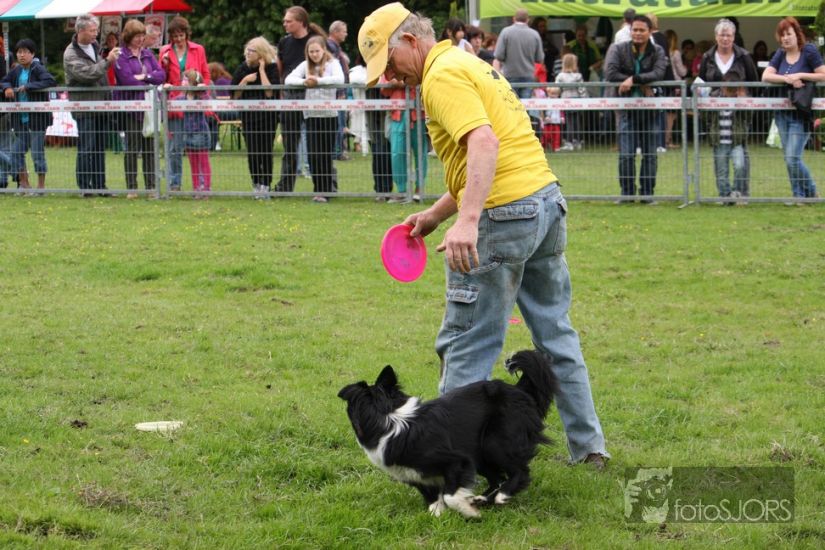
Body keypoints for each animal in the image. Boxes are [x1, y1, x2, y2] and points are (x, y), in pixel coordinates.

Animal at [338, 349, 558, 517]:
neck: (388, 418)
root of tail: (519, 390)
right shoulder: (417, 475)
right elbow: (433, 497)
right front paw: (440, 514)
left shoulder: (457, 460)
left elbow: (450, 495)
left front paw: (468, 511)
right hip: (480, 453)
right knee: (496, 478)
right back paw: (483, 499)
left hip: (494, 442)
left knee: (519, 471)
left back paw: (501, 496)